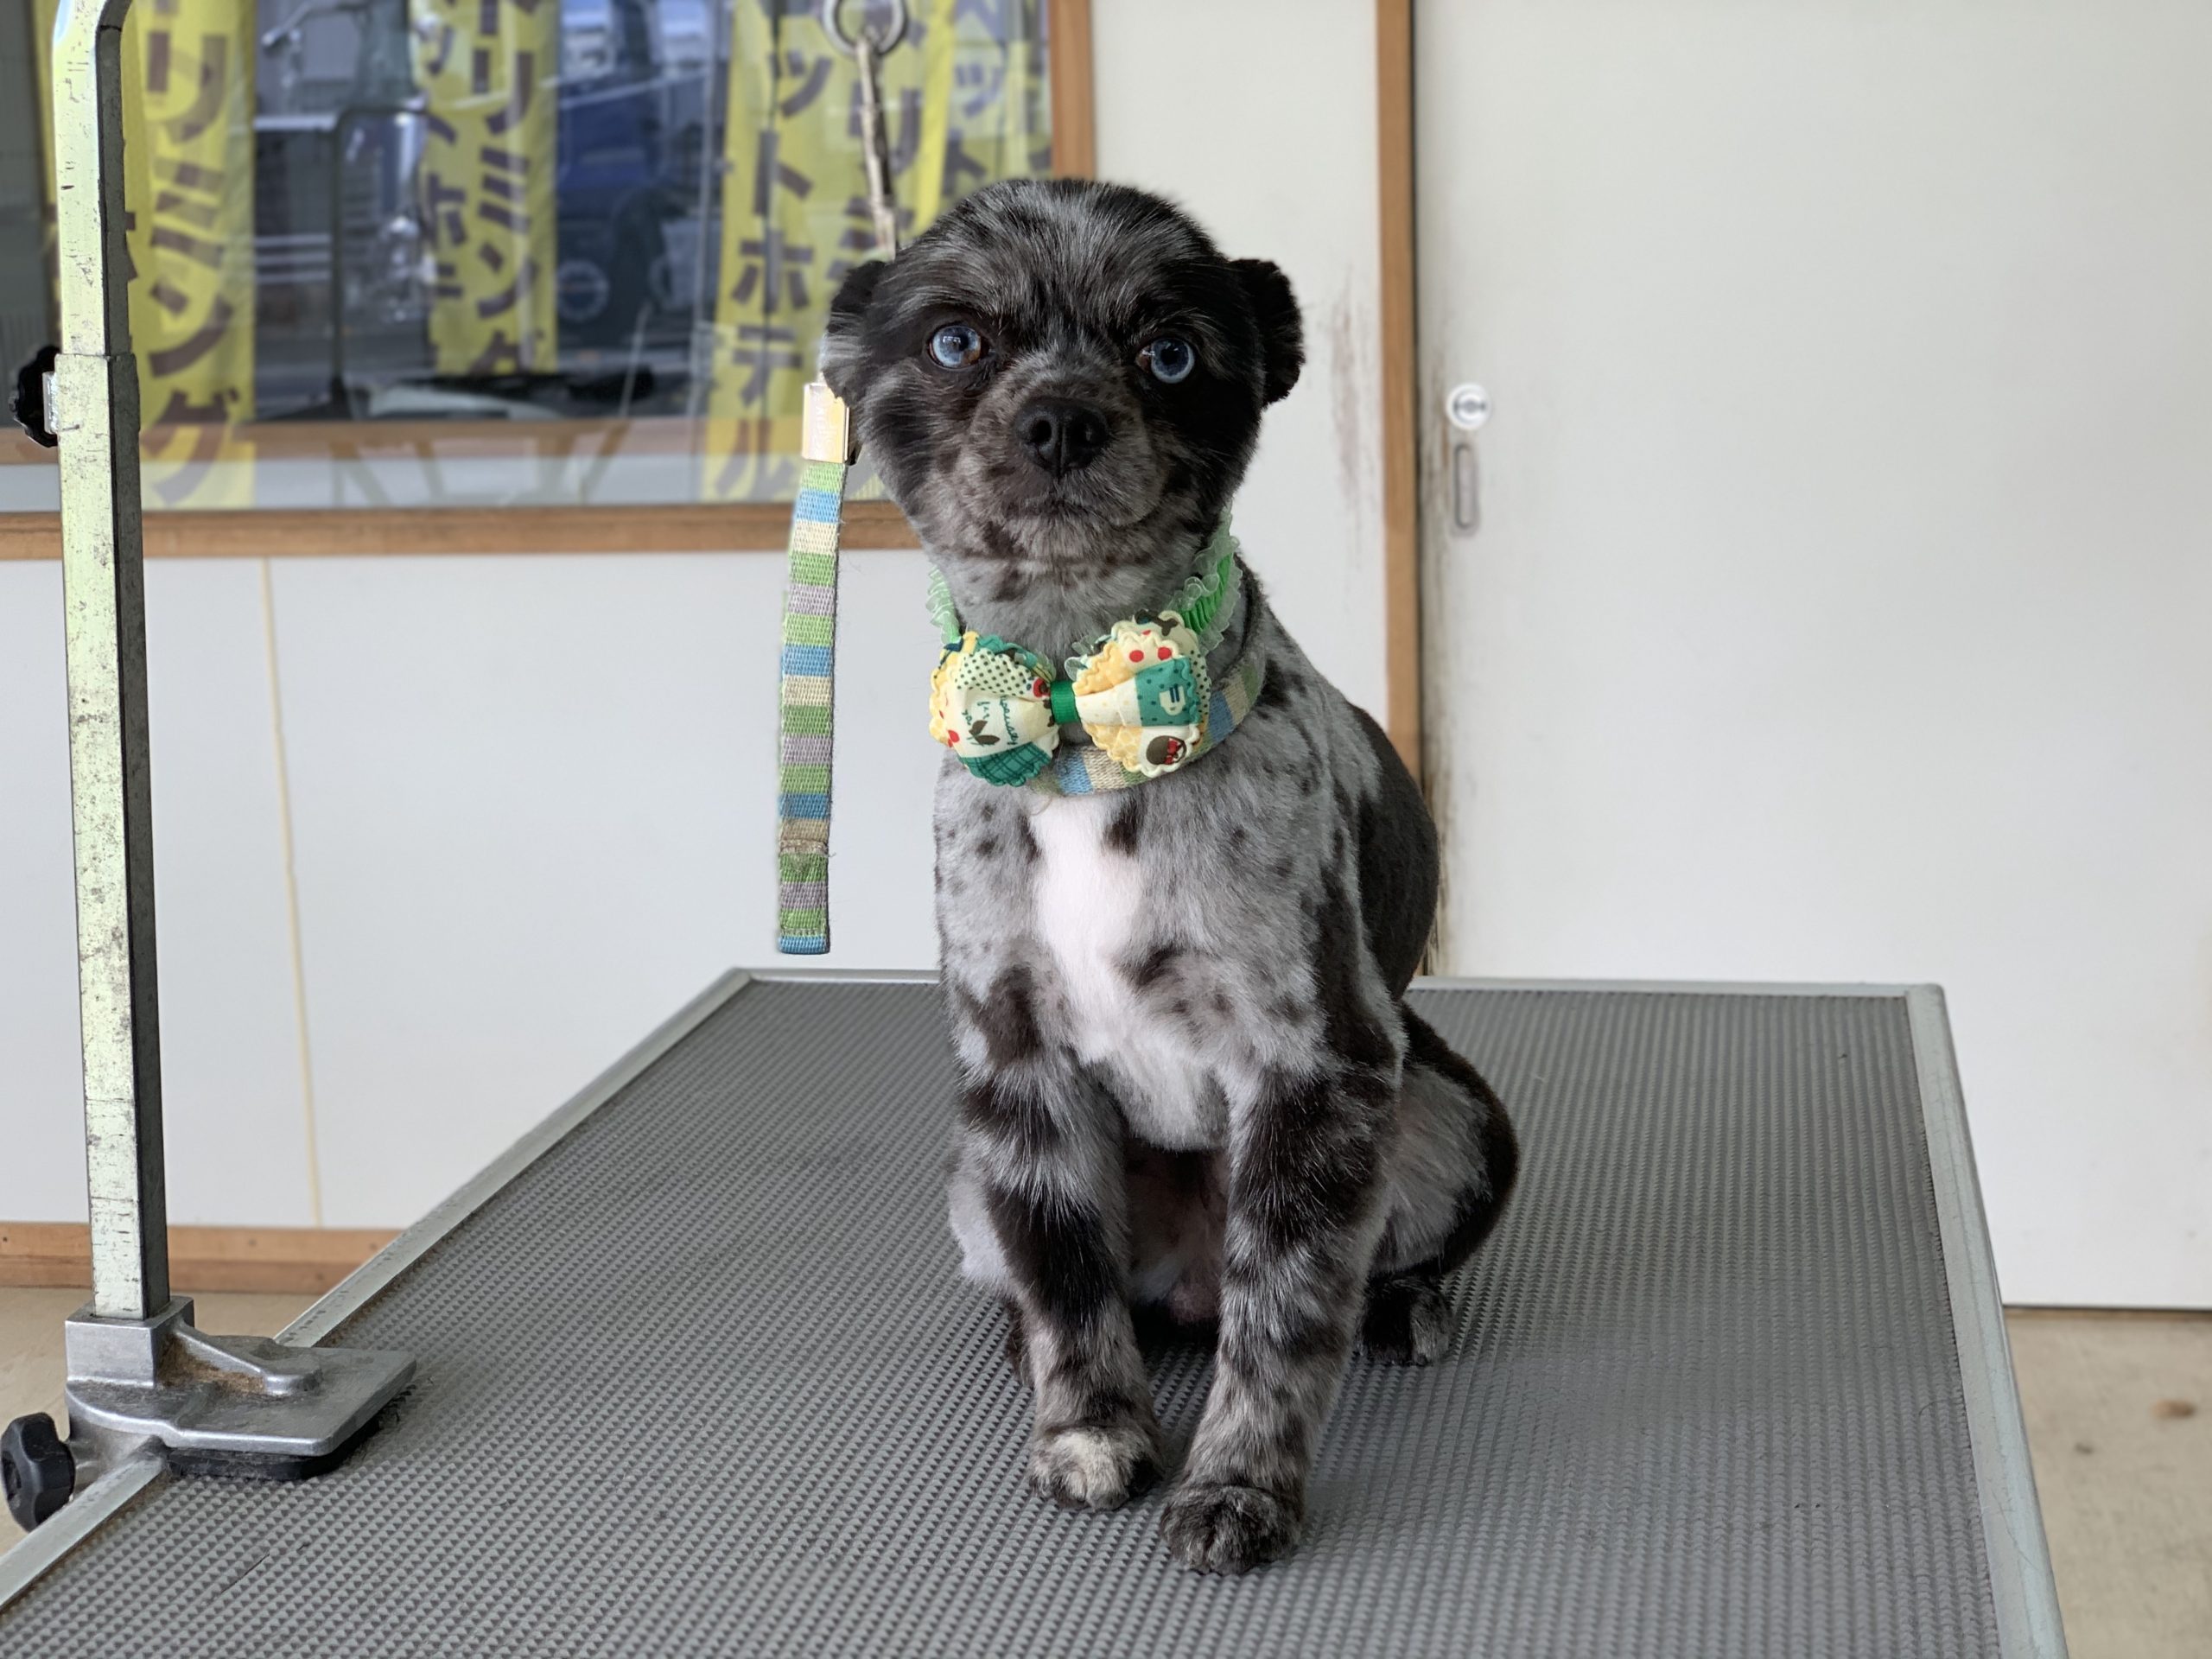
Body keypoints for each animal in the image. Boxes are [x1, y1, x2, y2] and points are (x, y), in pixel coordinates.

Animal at [822, 178, 1518, 1575]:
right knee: (1067, 1282)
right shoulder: (1019, 1076)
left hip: (1447, 1117)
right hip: (969, 1176)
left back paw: (1401, 1311)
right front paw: (1088, 1428)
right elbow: (1068, 1283)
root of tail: (1188, 1276)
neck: (1080, 720)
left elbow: (1284, 1317)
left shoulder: (1316, 1074)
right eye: (954, 342)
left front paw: (1241, 1486)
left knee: (1339, 1279)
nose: (1061, 419)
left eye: (1172, 355)